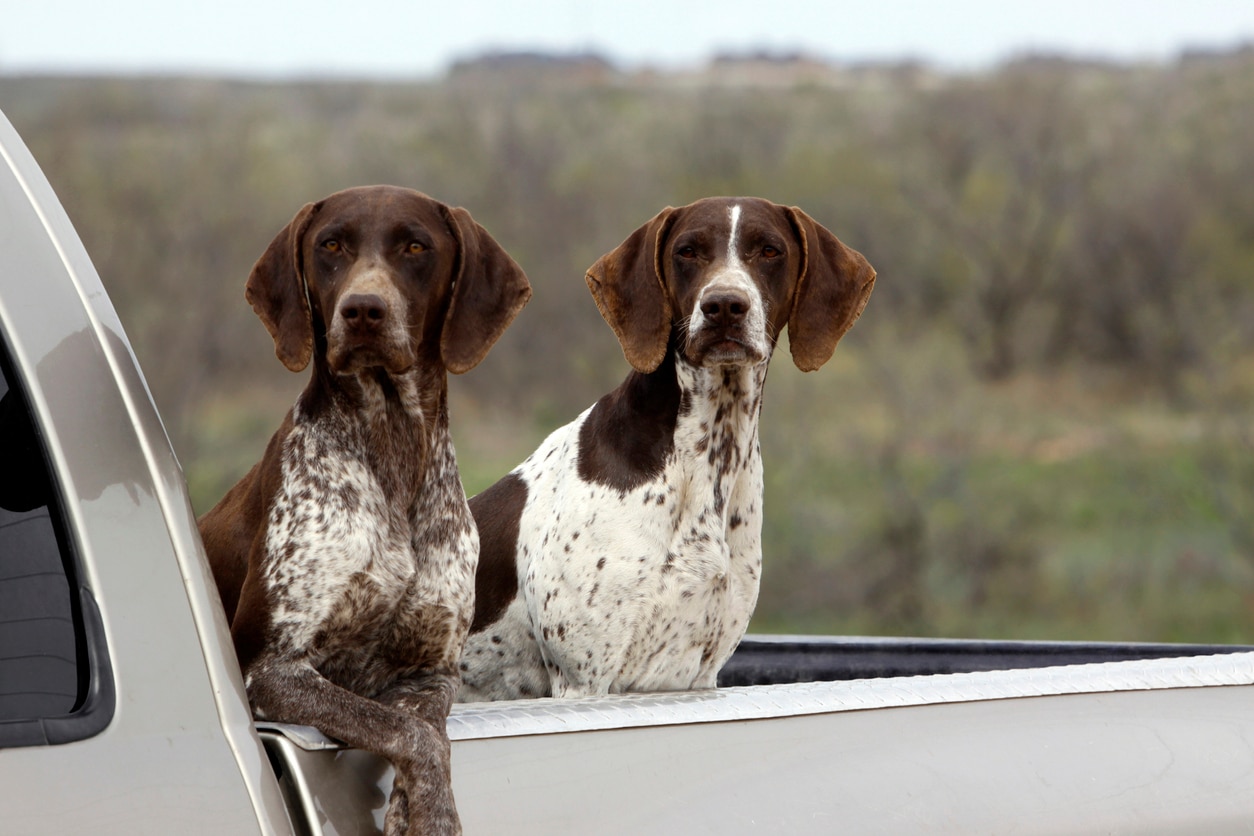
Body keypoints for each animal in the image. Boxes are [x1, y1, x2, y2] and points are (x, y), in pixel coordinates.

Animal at [199, 186, 529, 832]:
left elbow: (427, 729)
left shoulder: (431, 670)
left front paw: (418, 810)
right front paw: (432, 816)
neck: (391, 447)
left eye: (415, 247)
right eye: (331, 246)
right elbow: (407, 732)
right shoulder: (271, 669)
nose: (363, 310)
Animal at [456, 196, 877, 701]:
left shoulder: (695, 676)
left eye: (770, 251)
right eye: (687, 251)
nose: (723, 306)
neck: (709, 453)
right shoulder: (584, 681)